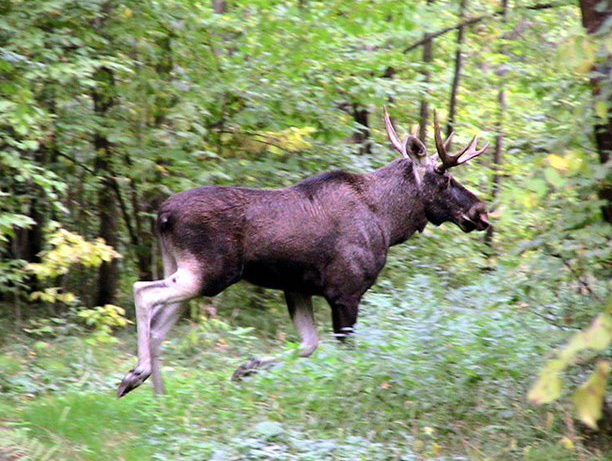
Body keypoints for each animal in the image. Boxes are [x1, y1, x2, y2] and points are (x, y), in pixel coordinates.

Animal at [117, 107, 490, 396]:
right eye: (444, 178)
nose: (480, 211)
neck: (388, 223)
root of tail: (163, 216)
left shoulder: (297, 288)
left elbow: (309, 345)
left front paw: (246, 368)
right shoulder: (345, 291)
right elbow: (345, 351)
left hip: (183, 268)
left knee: (158, 327)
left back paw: (158, 396)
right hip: (210, 273)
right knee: (142, 292)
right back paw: (135, 374)